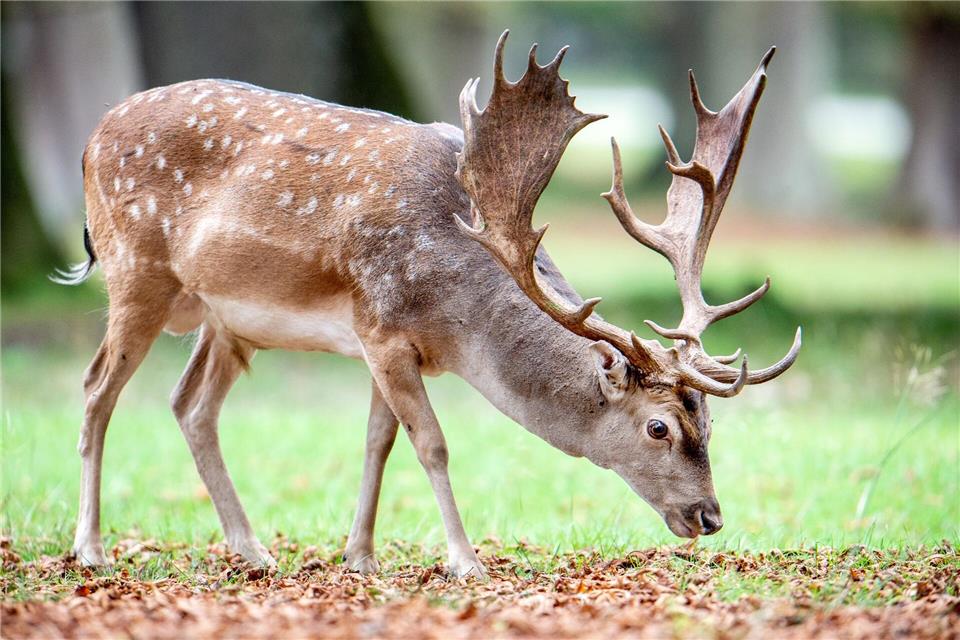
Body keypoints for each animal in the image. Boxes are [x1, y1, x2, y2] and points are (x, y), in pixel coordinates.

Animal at [57, 31, 799, 578]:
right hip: (136, 273)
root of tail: (90, 141)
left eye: (710, 423)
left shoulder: (386, 343)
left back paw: (252, 549)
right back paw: (90, 549)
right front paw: (465, 561)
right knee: (95, 387)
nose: (710, 516)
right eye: (658, 428)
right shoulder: (382, 327)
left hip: (224, 320)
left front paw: (358, 556)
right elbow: (432, 444)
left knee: (190, 405)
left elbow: (377, 441)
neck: (457, 319)